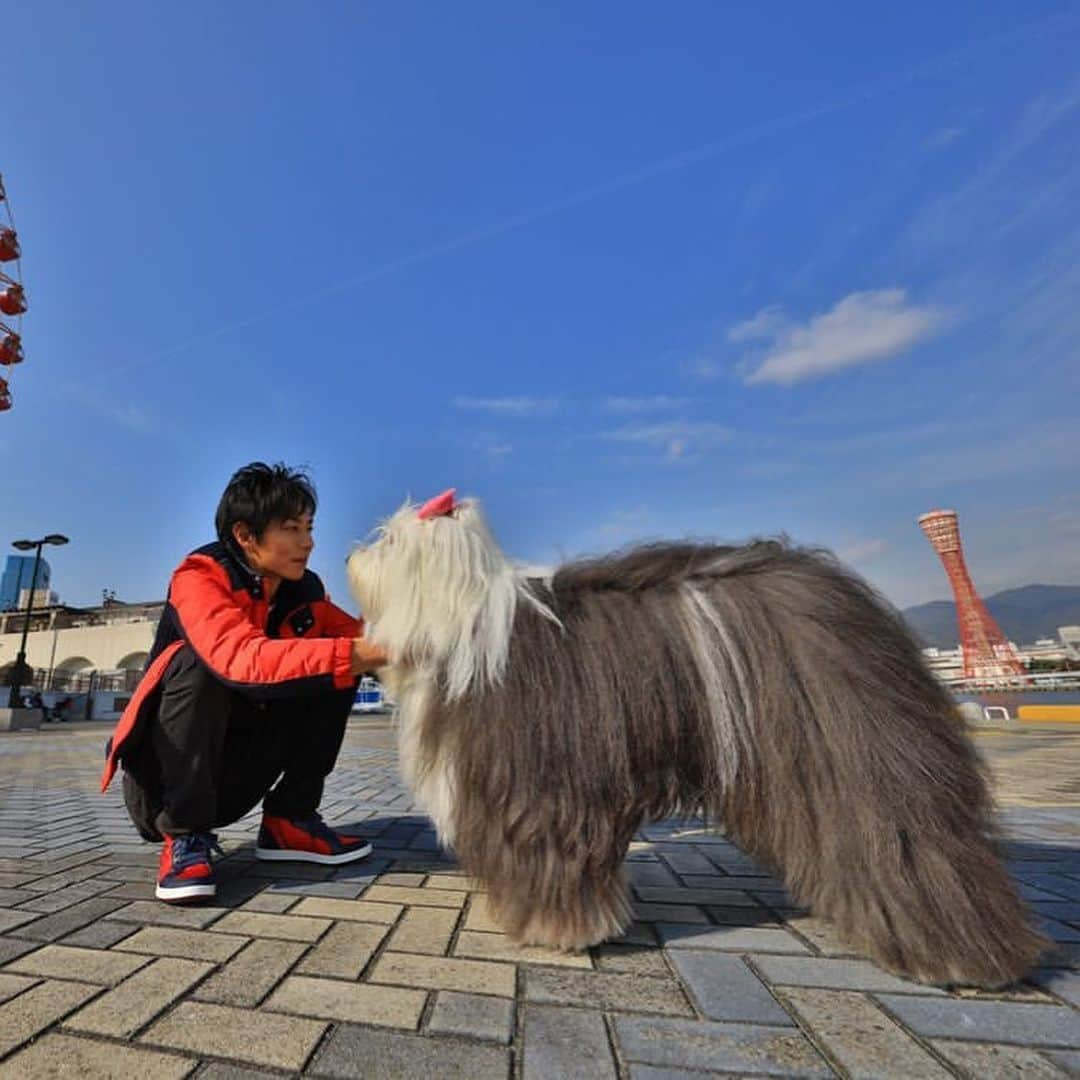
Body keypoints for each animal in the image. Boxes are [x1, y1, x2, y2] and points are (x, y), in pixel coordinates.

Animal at [345, 490, 1045, 989]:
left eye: (389, 538)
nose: (352, 553)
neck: (461, 623)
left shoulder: (542, 791)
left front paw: (555, 931)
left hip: (857, 753)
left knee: (909, 840)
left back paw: (958, 957)